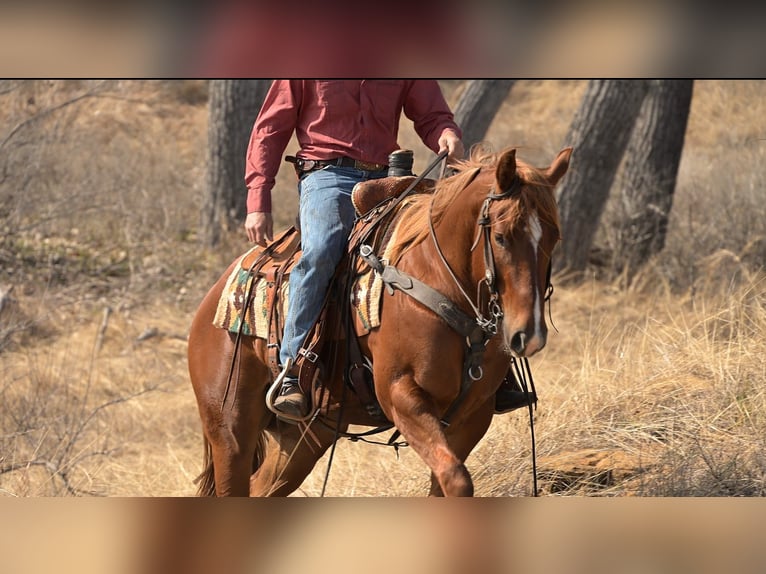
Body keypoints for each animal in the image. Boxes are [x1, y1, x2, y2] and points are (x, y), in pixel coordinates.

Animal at [187, 146, 572, 496]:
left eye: (554, 237)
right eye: (502, 237)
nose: (529, 334)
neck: (437, 279)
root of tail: (212, 299)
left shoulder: (472, 417)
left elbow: (447, 480)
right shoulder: (402, 396)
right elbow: (457, 479)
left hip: (304, 436)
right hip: (230, 431)